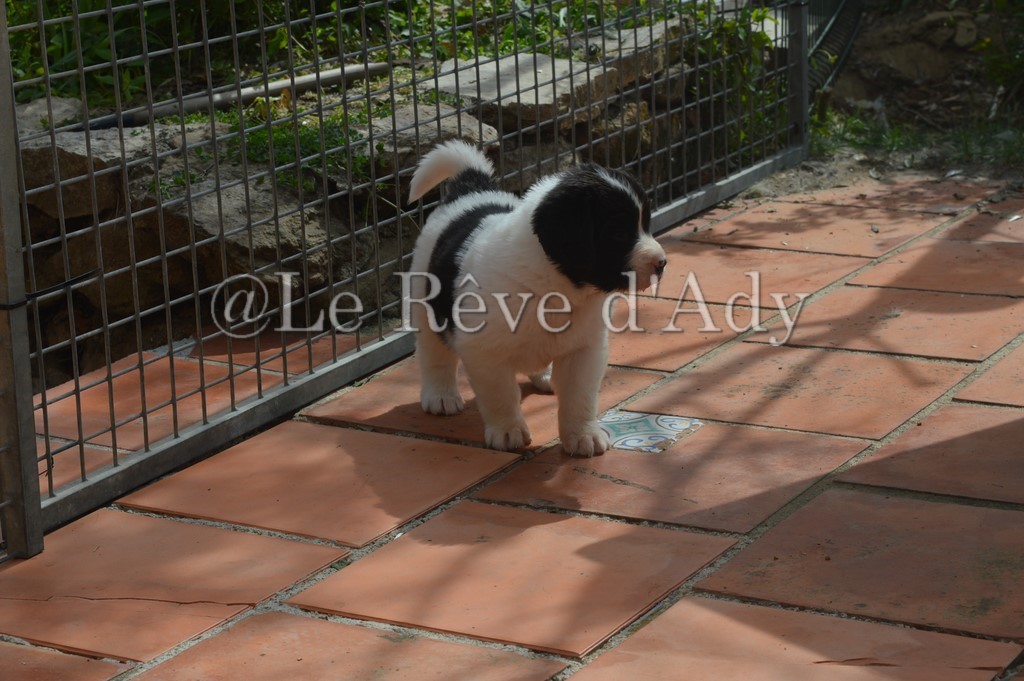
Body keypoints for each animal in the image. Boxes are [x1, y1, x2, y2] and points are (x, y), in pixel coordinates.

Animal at [405, 140, 666, 456]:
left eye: (645, 224)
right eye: (617, 233)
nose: (662, 263)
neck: (555, 284)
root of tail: (471, 189)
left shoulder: (584, 349)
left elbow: (579, 397)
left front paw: (583, 434)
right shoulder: (484, 351)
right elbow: (501, 394)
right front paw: (508, 430)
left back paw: (545, 376)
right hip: (425, 301)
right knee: (434, 354)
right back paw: (441, 395)